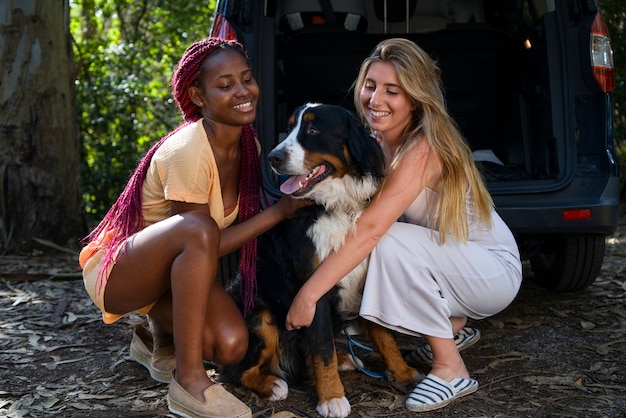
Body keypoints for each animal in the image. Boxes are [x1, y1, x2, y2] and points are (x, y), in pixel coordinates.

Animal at [221, 103, 420, 418]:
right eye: (289, 127)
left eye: (313, 130)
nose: (273, 157)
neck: (336, 207)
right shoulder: (313, 291)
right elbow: (323, 347)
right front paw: (332, 398)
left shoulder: (366, 277)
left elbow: (385, 335)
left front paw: (402, 372)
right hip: (260, 316)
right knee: (237, 370)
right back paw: (272, 384)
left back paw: (345, 359)